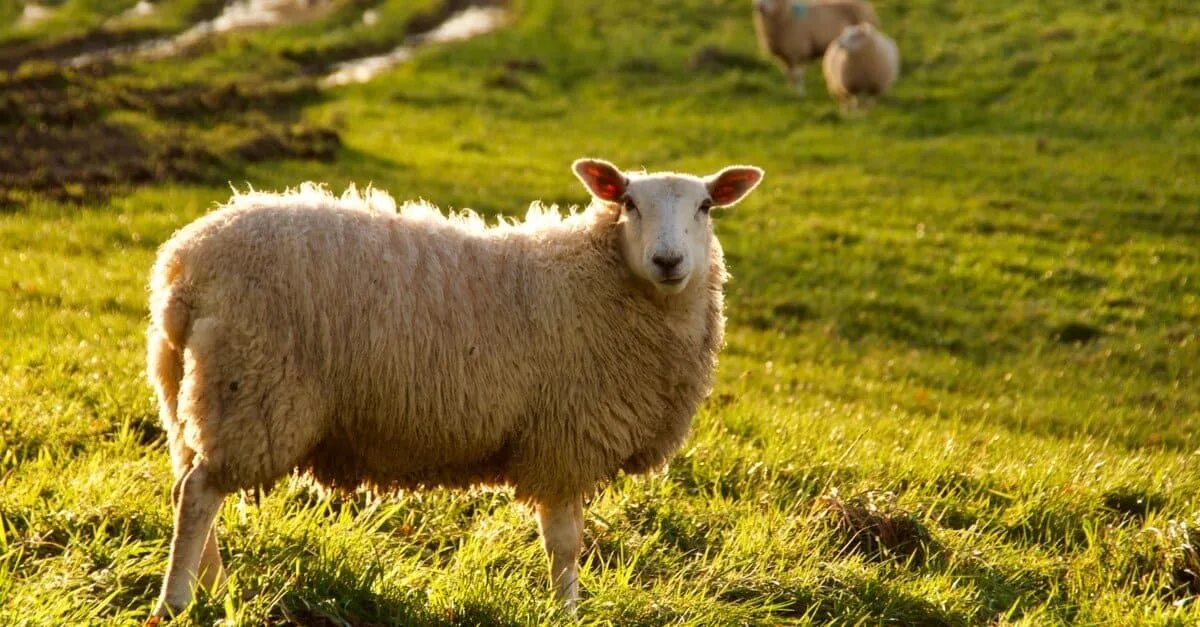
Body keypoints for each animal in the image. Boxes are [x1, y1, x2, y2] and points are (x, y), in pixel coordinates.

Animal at [147, 158, 764, 617]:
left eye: (706, 206)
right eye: (629, 203)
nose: (668, 260)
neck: (599, 278)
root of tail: (184, 263)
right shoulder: (563, 438)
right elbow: (565, 542)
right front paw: (567, 609)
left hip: (190, 393)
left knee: (186, 486)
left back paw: (213, 590)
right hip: (252, 389)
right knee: (200, 493)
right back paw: (175, 602)